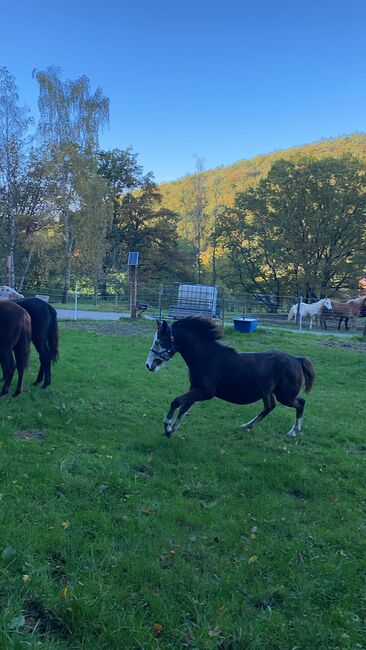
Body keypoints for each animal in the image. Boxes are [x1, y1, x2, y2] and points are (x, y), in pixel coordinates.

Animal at [146, 316, 314, 438]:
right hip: (267, 392)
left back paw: (294, 431)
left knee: (301, 403)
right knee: (269, 407)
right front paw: (172, 429)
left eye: (158, 341)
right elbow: (184, 407)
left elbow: (177, 402)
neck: (206, 357)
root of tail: (297, 359)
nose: (148, 365)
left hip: (285, 396)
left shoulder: (205, 392)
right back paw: (247, 425)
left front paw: (167, 426)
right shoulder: (195, 388)